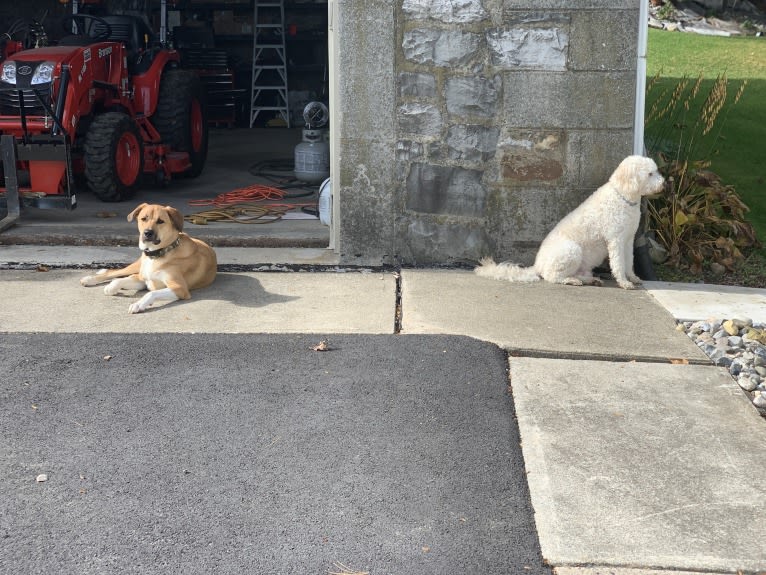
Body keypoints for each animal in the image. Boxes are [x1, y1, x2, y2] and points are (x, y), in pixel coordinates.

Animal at [80, 204, 218, 312]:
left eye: (160, 221)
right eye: (143, 219)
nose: (147, 233)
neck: (157, 255)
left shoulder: (180, 288)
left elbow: (151, 292)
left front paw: (138, 304)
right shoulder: (143, 279)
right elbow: (118, 281)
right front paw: (111, 288)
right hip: (136, 267)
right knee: (114, 272)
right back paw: (90, 279)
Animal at [480, 155, 664, 290]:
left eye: (655, 171)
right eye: (649, 174)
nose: (664, 184)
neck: (623, 197)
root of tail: (537, 265)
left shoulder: (628, 240)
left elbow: (629, 262)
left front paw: (633, 278)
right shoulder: (616, 240)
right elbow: (618, 264)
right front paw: (624, 282)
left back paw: (590, 280)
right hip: (571, 250)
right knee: (552, 276)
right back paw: (571, 281)